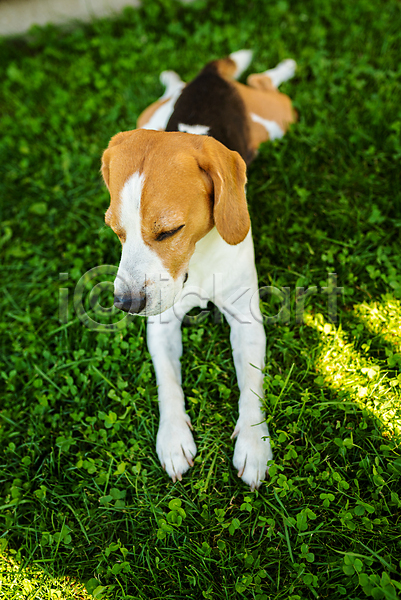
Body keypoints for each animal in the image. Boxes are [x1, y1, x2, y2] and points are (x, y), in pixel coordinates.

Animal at [101, 50, 296, 489]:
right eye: (116, 230)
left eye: (169, 230)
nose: (126, 303)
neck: (197, 260)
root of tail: (208, 77)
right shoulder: (161, 324)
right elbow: (168, 384)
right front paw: (173, 438)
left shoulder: (246, 320)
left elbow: (251, 386)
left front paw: (254, 445)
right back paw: (173, 77)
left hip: (278, 121)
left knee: (263, 81)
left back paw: (284, 68)